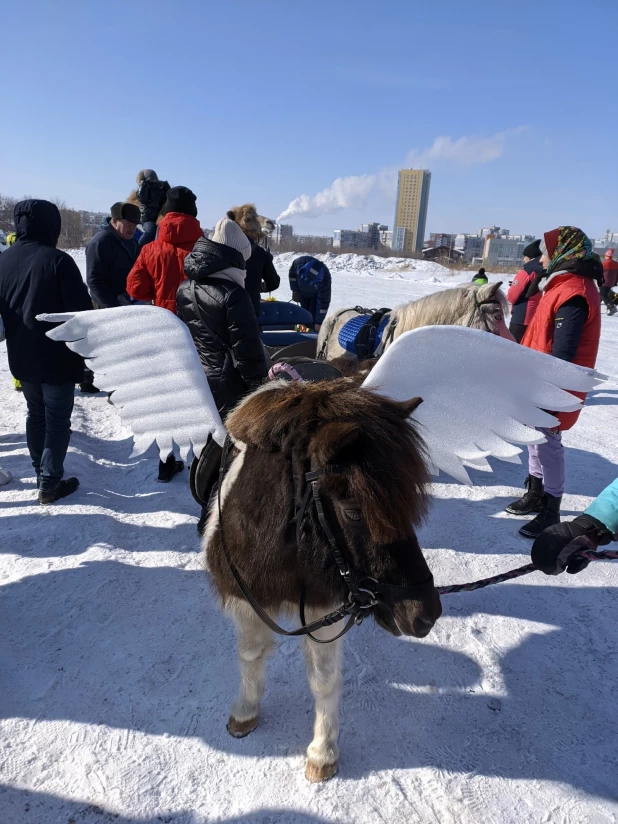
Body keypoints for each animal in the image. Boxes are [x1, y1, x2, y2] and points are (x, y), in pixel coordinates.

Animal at [202, 376, 438, 784]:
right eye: (353, 510)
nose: (425, 614)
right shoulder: (246, 599)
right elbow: (250, 654)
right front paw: (244, 713)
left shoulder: (321, 605)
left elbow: (324, 678)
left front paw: (323, 753)